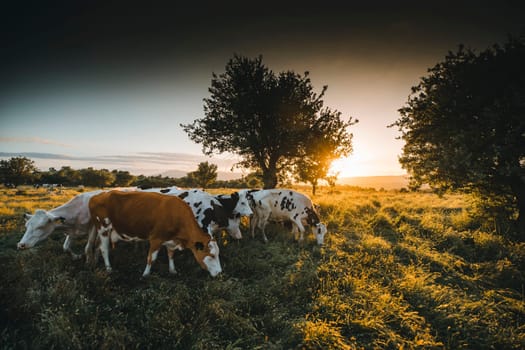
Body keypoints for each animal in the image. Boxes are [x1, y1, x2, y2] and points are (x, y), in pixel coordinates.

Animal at [90, 190, 221, 278]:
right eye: (212, 255)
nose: (220, 273)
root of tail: (98, 195)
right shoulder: (156, 239)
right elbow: (151, 259)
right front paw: (145, 274)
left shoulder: (171, 240)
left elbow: (171, 255)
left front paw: (172, 270)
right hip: (103, 228)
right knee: (104, 249)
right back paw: (108, 268)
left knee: (97, 246)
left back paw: (95, 262)